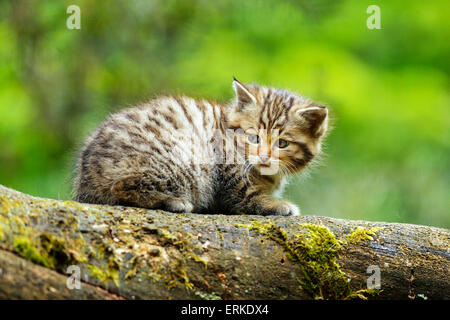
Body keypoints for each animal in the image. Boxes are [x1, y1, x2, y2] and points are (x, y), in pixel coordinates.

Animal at [73, 79, 326, 216]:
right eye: (254, 138)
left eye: (282, 143)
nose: (264, 157)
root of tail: (86, 181)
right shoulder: (228, 174)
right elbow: (246, 197)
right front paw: (276, 205)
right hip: (179, 157)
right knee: (119, 187)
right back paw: (172, 201)